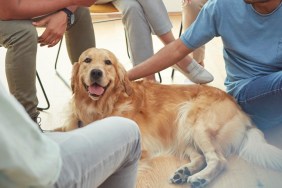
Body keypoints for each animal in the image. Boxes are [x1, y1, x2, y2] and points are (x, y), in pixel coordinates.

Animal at [61, 47, 282, 187]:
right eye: (87, 60)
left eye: (108, 62)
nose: (96, 73)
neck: (102, 106)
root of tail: (241, 111)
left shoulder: (136, 148)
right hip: (181, 131)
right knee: (200, 157)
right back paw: (184, 172)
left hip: (194, 121)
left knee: (218, 159)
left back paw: (201, 178)